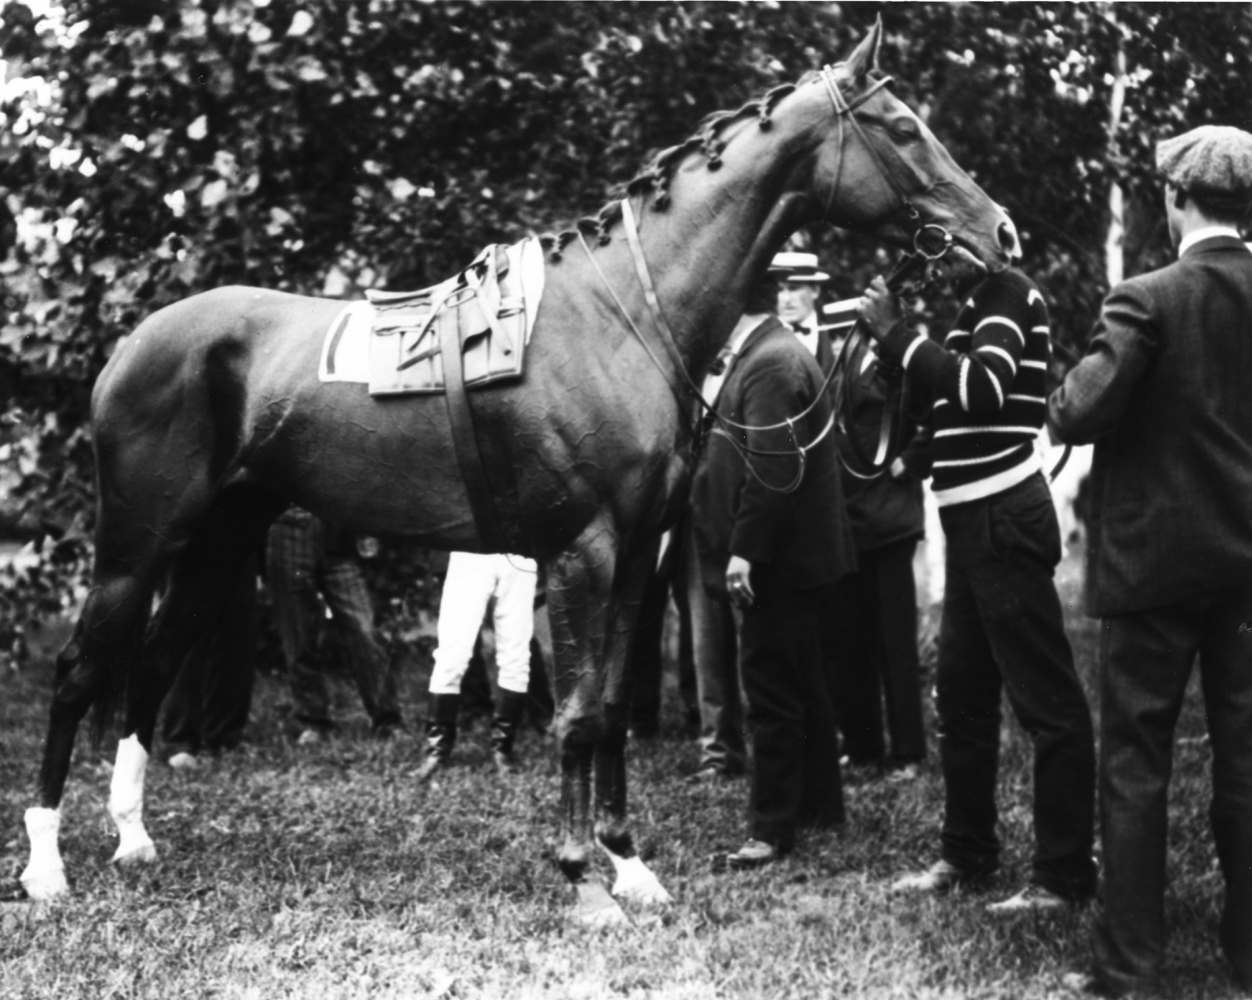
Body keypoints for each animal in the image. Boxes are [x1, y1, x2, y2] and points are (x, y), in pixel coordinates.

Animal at [19, 19, 1016, 921]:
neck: (625, 314)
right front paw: (582, 877)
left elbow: (607, 708)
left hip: (219, 539)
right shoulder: (585, 552)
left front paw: (629, 865)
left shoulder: (640, 555)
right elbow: (573, 714)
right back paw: (46, 866)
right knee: (77, 671)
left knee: (151, 667)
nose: (1000, 231)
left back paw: (134, 838)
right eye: (900, 127)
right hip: (138, 545)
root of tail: (134, 343)